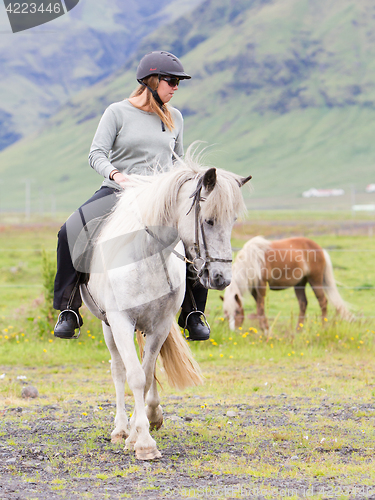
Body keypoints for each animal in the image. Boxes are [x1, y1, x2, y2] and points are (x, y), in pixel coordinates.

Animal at [79, 148, 250, 460]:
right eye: (208, 220)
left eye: (232, 221)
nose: (222, 278)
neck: (146, 256)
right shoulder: (121, 321)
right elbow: (134, 376)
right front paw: (143, 442)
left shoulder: (160, 325)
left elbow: (147, 376)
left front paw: (139, 433)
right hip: (107, 324)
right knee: (117, 369)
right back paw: (120, 428)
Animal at [222, 236, 354, 334]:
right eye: (226, 314)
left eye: (237, 312)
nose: (233, 331)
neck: (253, 260)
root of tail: (320, 249)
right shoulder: (255, 289)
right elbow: (260, 309)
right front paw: (264, 329)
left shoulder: (262, 285)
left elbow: (260, 308)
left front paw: (266, 330)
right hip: (300, 283)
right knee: (303, 304)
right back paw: (298, 330)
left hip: (315, 280)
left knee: (323, 302)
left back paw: (323, 327)